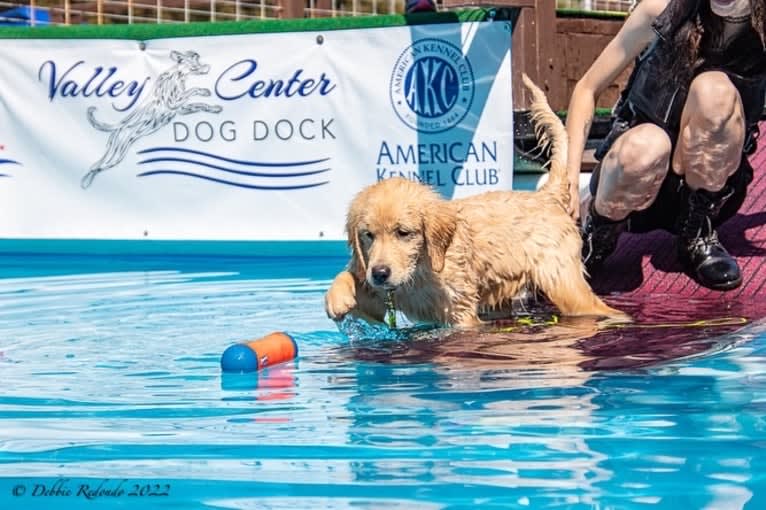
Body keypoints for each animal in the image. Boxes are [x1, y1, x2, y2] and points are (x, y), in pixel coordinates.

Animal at [328, 76, 628, 330]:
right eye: (368, 235)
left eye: (403, 233)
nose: (380, 273)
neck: (421, 268)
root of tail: (546, 194)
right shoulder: (382, 296)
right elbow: (351, 281)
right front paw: (337, 298)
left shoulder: (459, 310)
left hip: (563, 280)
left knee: (592, 305)